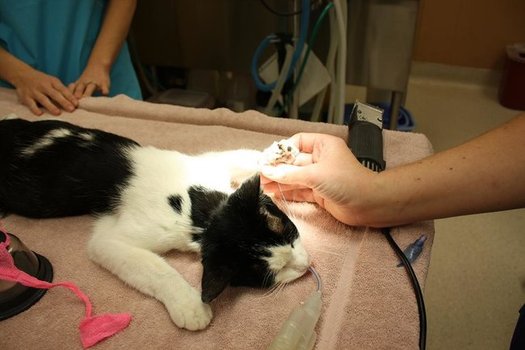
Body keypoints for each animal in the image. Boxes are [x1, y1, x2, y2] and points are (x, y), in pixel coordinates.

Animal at [0, 118, 310, 330]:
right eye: (269, 273)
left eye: (286, 230)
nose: (306, 266)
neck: (198, 210)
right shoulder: (112, 239)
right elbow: (153, 268)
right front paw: (189, 304)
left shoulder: (205, 167)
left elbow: (238, 158)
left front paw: (277, 154)